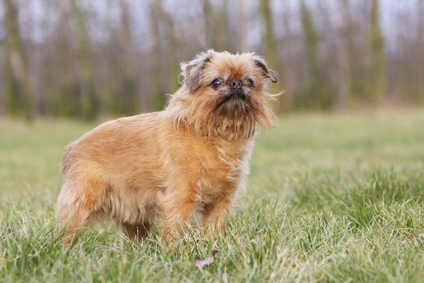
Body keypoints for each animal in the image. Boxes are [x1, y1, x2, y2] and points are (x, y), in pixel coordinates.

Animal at [56, 49, 278, 244]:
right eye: (216, 82)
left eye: (250, 82)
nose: (236, 84)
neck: (216, 134)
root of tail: (73, 147)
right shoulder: (180, 198)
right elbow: (175, 227)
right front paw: (175, 251)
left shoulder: (221, 200)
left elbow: (213, 227)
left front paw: (211, 245)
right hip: (80, 205)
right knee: (67, 234)